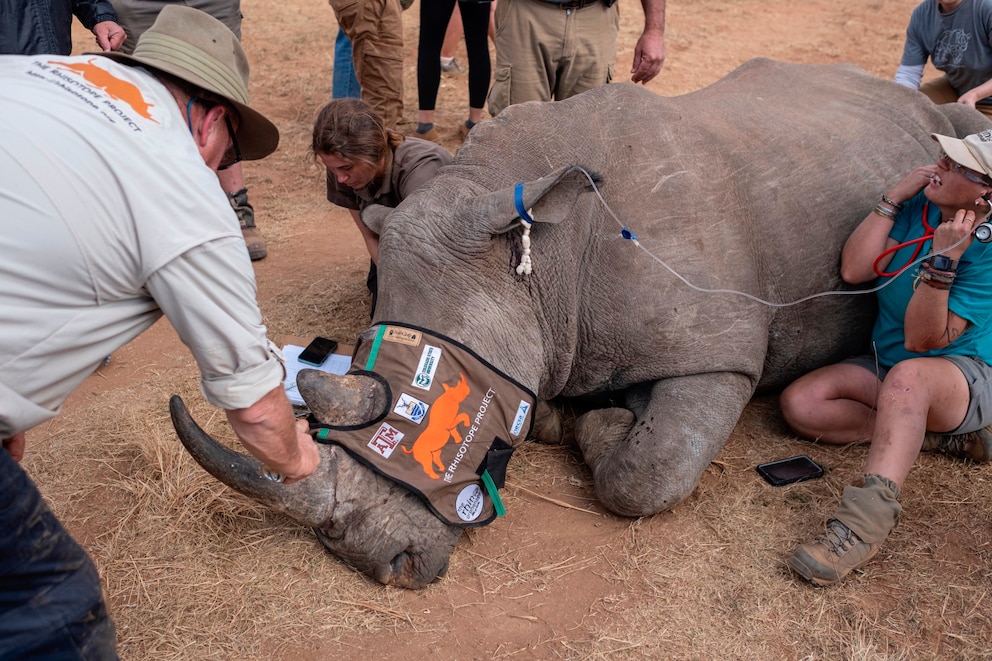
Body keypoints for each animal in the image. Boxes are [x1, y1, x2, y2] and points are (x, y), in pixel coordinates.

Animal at [170, 58, 991, 589]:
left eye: (415, 408)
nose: (380, 563)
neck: (544, 262)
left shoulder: (719, 350)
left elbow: (649, 471)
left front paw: (603, 424)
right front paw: (569, 416)